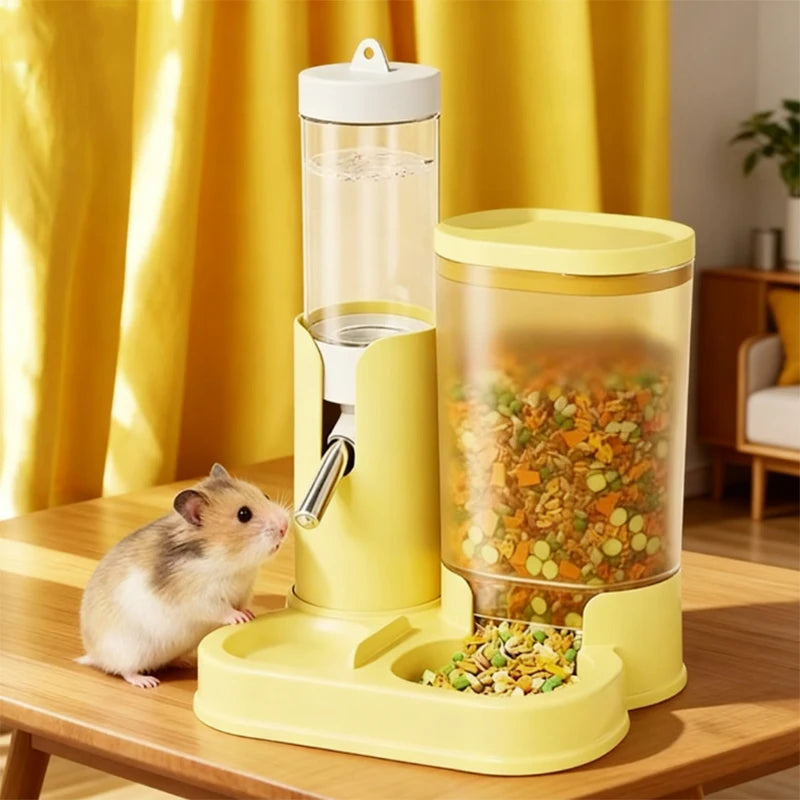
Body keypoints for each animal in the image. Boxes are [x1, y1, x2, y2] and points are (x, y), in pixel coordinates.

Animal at [78, 463, 289, 688]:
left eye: (265, 495)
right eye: (244, 514)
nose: (285, 526)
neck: (231, 561)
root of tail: (94, 655)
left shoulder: (244, 590)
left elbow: (241, 604)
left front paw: (250, 614)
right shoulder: (200, 597)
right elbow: (222, 609)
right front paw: (241, 618)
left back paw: (184, 662)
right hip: (128, 652)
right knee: (124, 671)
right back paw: (147, 682)